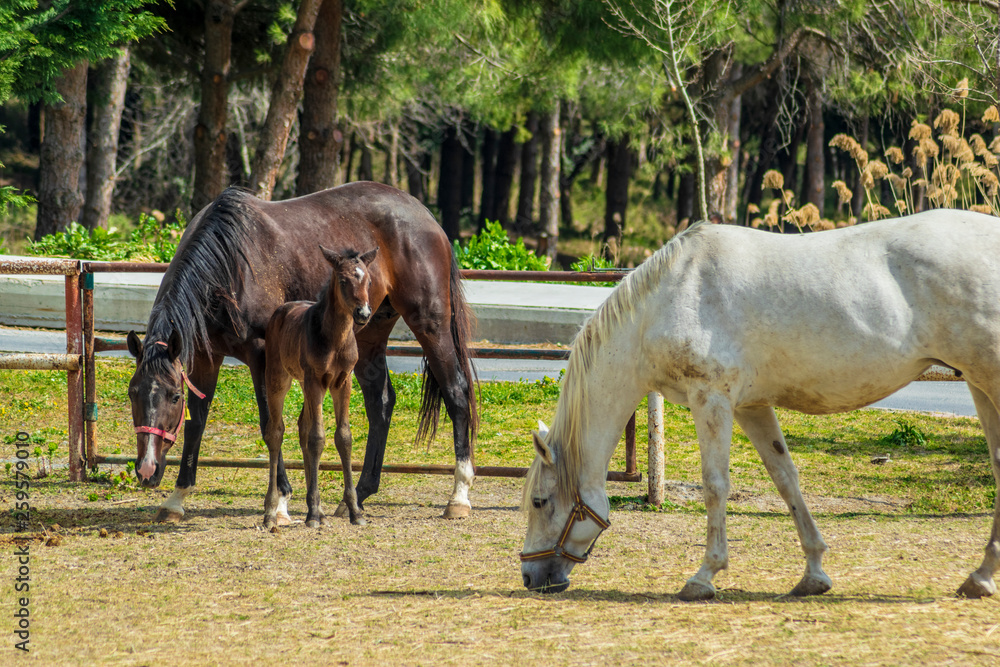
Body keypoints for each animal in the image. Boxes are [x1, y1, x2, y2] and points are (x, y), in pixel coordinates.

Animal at [262, 245, 377, 529]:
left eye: (369, 281)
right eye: (344, 280)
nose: (363, 314)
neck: (335, 339)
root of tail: (281, 310)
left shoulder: (343, 381)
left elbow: (343, 437)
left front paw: (354, 511)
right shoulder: (314, 379)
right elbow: (317, 437)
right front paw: (313, 514)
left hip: (306, 384)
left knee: (302, 427)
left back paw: (319, 510)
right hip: (279, 377)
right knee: (275, 432)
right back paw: (271, 512)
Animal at [520, 210, 1000, 601]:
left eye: (540, 502)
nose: (530, 577)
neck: (668, 297)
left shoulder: (711, 399)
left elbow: (716, 485)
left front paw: (704, 577)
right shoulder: (750, 406)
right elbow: (785, 478)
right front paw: (813, 573)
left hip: (988, 377)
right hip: (979, 383)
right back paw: (980, 578)